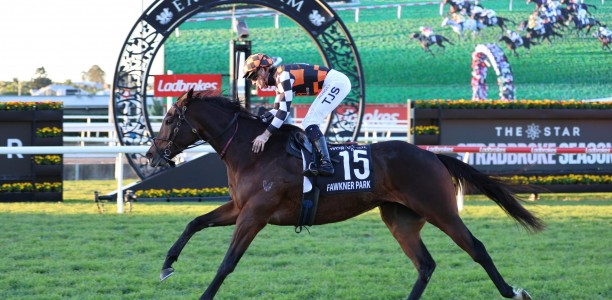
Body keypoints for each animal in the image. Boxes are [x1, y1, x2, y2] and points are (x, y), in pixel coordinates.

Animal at [146, 89, 544, 300]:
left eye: (168, 119)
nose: (151, 154)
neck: (253, 150)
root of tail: (432, 156)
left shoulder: (254, 214)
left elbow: (227, 262)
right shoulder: (239, 207)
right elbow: (195, 222)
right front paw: (167, 264)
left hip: (440, 210)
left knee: (476, 248)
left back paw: (513, 292)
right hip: (400, 219)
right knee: (426, 264)